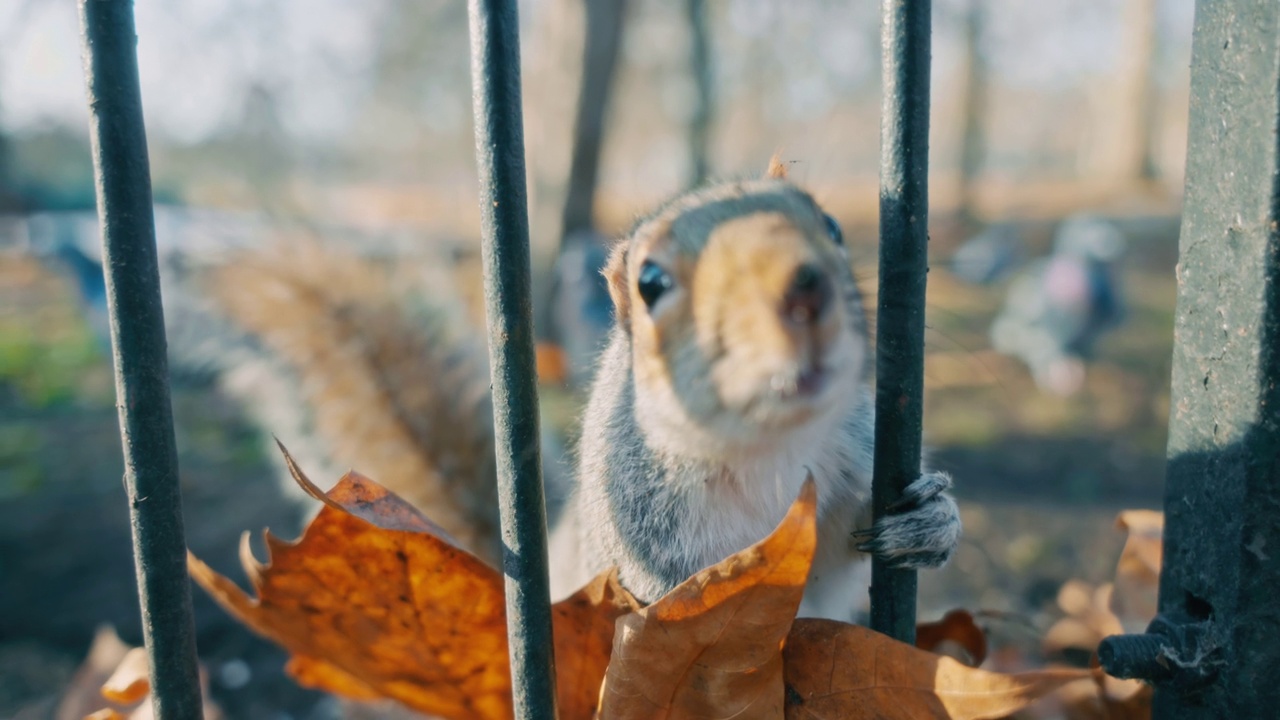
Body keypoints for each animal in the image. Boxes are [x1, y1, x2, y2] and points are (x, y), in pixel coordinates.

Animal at [547, 159, 962, 620]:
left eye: (832, 226)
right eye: (650, 284)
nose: (805, 290)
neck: (770, 449)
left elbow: (839, 560)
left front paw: (933, 519)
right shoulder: (646, 548)